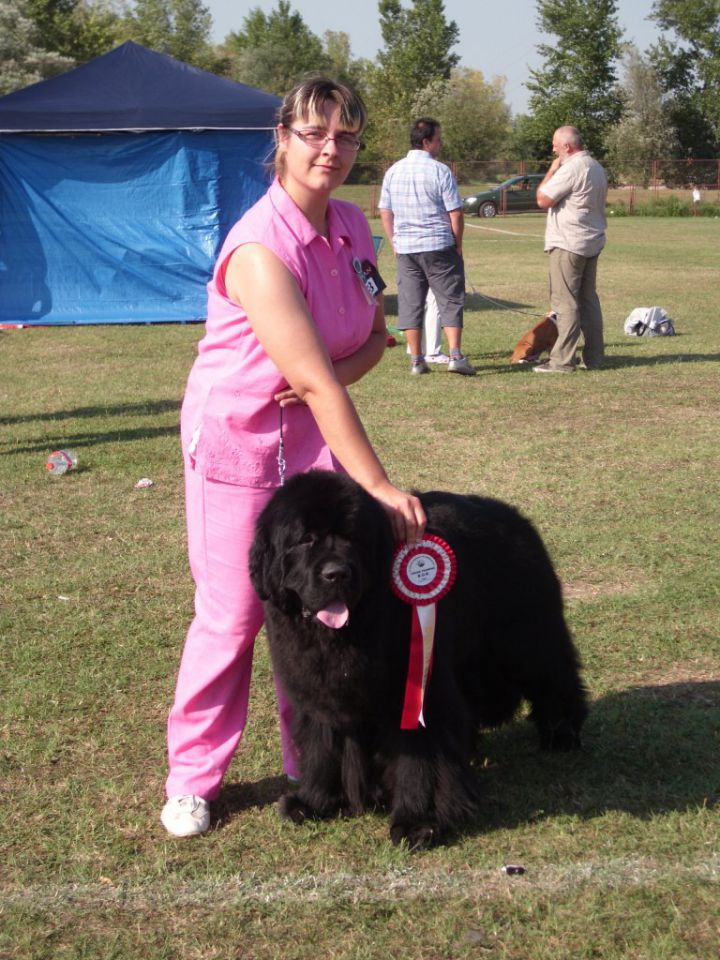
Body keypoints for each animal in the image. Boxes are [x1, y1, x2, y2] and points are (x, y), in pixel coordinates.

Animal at [248, 472, 584, 848]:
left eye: (353, 538)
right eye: (305, 539)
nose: (337, 573)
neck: (346, 632)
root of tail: (513, 516)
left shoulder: (419, 691)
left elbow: (422, 756)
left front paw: (420, 822)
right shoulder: (317, 693)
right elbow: (322, 745)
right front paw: (315, 801)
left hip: (524, 638)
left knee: (553, 675)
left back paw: (562, 733)